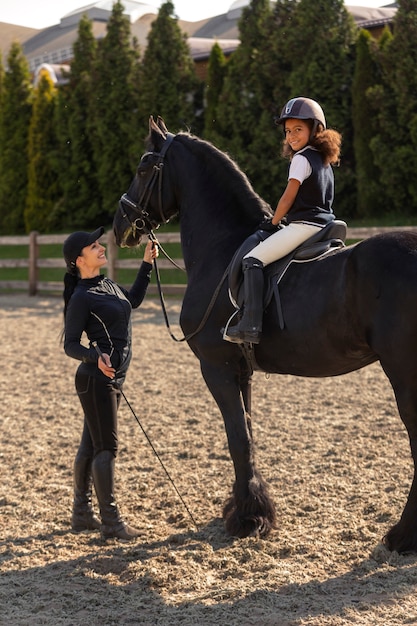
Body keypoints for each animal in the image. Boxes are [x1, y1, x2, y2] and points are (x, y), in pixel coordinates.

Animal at [114, 117, 417, 552]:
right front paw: (251, 509)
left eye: (142, 168)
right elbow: (248, 435)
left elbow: (237, 438)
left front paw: (247, 519)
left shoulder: (217, 367)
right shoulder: (242, 369)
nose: (120, 225)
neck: (222, 249)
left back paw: (402, 535)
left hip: (404, 375)